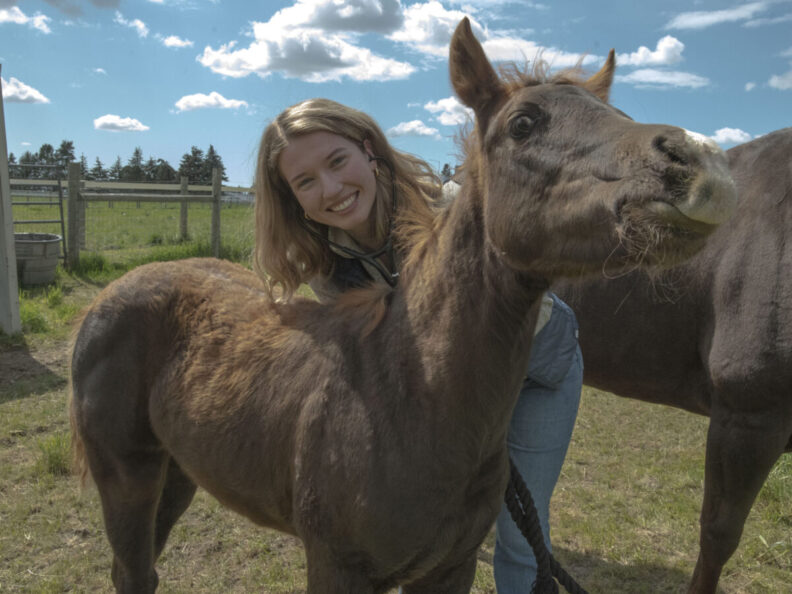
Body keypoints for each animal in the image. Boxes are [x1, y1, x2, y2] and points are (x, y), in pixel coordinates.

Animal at [69, 18, 737, 593]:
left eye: (617, 114)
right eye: (523, 124)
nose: (698, 161)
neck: (409, 395)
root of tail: (112, 295)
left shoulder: (450, 567)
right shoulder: (336, 567)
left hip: (178, 470)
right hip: (127, 476)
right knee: (133, 571)